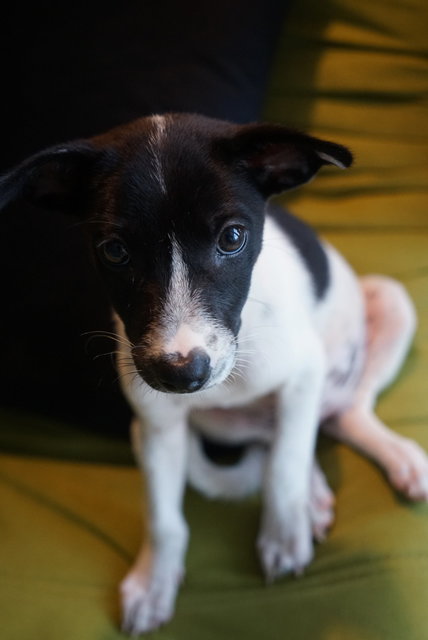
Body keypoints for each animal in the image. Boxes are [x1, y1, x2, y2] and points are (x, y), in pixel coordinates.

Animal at [0, 114, 428, 636]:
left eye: (232, 238)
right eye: (115, 251)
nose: (182, 373)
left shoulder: (303, 372)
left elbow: (284, 465)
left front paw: (283, 535)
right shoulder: (157, 423)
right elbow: (165, 518)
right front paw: (154, 583)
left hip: (390, 302)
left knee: (344, 412)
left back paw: (395, 458)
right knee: (291, 432)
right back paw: (315, 491)